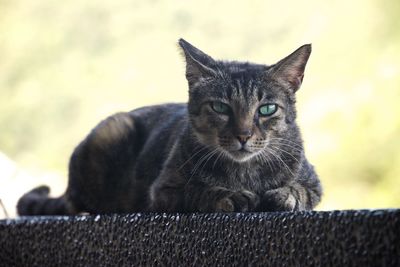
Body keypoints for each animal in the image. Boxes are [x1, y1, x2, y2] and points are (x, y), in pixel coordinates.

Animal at [16, 38, 322, 216]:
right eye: (220, 107)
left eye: (267, 109)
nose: (243, 135)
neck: (245, 172)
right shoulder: (163, 190)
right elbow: (200, 191)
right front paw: (231, 195)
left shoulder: (314, 183)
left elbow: (300, 190)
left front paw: (283, 194)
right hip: (114, 127)